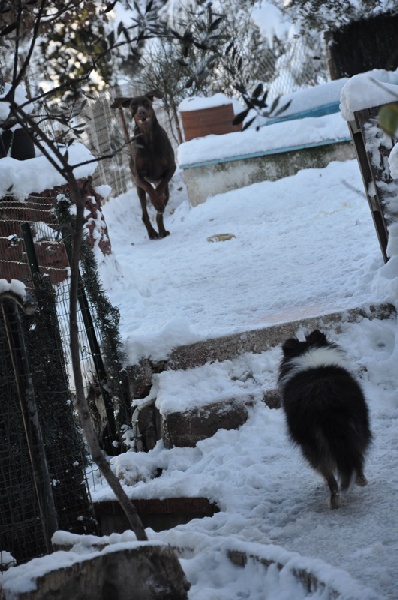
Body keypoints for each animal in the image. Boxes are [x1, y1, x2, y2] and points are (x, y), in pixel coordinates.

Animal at [278, 330, 372, 508]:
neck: (309, 354)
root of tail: (323, 400)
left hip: (313, 442)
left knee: (330, 472)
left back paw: (336, 499)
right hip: (354, 428)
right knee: (352, 459)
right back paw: (356, 483)